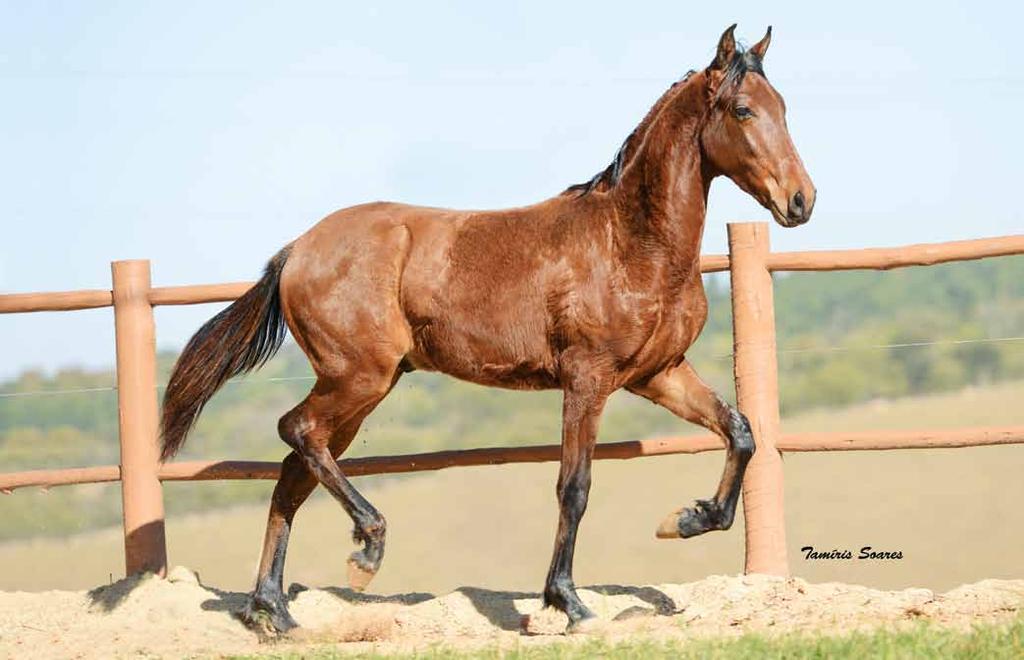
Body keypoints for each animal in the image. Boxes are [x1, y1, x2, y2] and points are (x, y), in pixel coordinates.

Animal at [159, 24, 815, 634]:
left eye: (784, 107)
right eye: (742, 109)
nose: (801, 200)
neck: (630, 242)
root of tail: (296, 250)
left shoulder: (657, 373)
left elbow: (741, 431)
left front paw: (685, 520)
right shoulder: (588, 378)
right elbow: (574, 487)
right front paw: (568, 603)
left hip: (360, 392)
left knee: (294, 469)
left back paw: (274, 611)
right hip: (357, 378)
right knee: (296, 431)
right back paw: (365, 551)